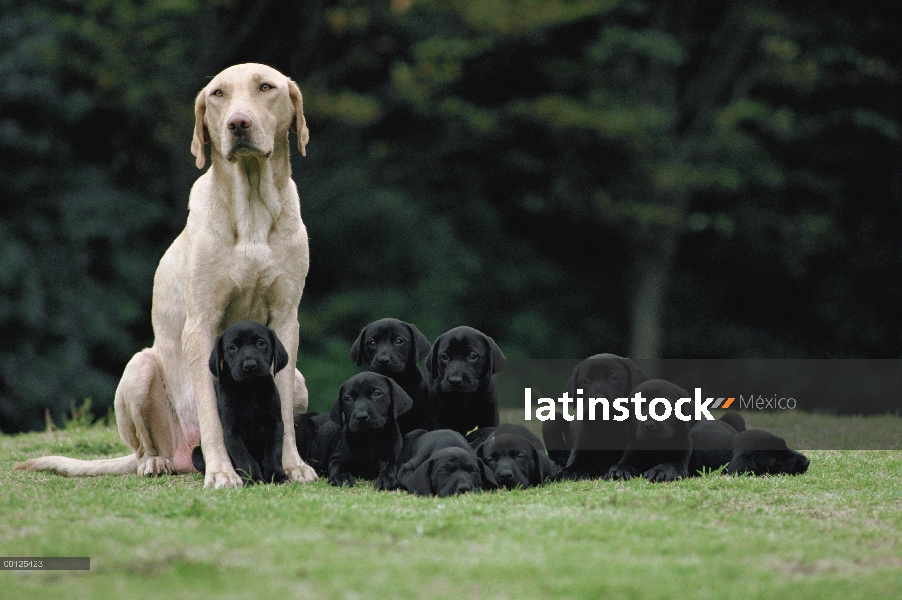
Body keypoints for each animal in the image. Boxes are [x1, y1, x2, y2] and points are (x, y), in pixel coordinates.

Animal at [192, 322, 288, 486]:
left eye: (260, 343)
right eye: (232, 347)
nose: (250, 365)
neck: (250, 389)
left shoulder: (275, 425)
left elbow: (273, 452)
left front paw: (276, 475)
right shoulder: (232, 431)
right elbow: (244, 458)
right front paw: (254, 478)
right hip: (196, 453)